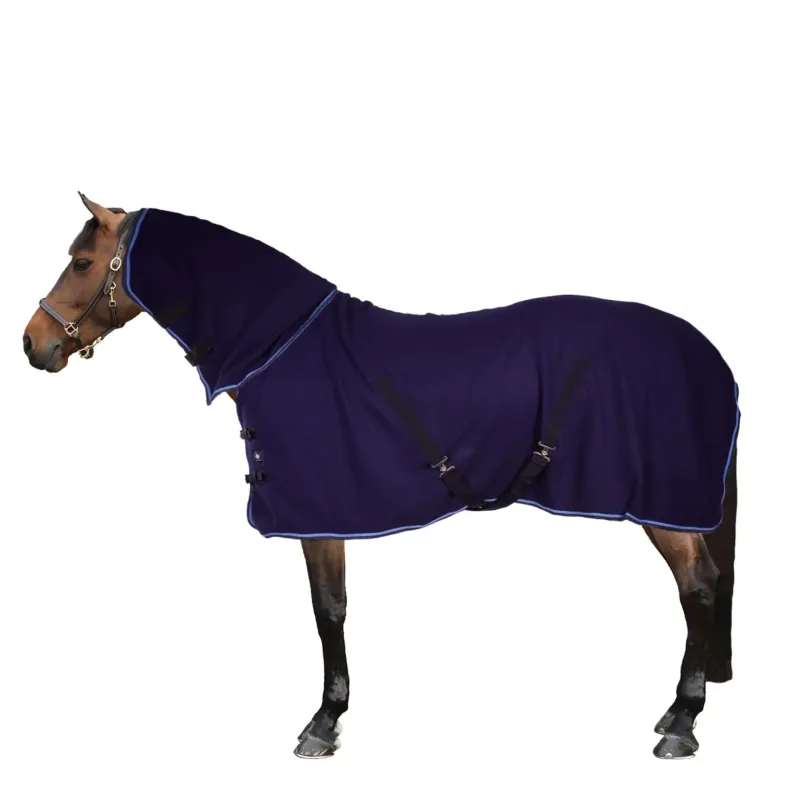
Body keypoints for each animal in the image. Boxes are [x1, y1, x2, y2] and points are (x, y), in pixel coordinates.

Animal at [23, 194, 739, 760]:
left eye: (82, 263)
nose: (34, 344)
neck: (280, 345)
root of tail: (706, 353)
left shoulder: (319, 514)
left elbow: (328, 610)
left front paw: (323, 722)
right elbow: (333, 608)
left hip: (663, 503)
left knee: (698, 587)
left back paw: (682, 722)